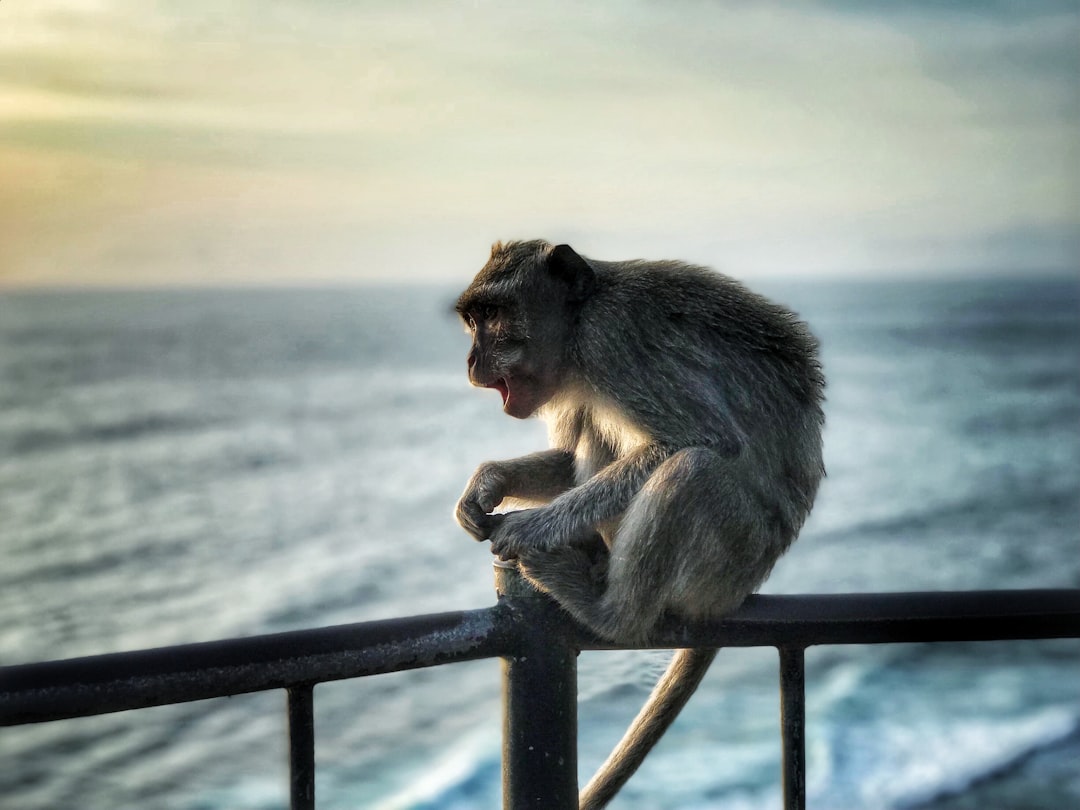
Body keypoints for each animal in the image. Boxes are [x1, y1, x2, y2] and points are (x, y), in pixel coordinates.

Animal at [451, 237, 820, 807]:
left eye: (493, 315)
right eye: (473, 319)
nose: (471, 360)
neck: (579, 325)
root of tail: (742, 590)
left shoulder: (612, 342)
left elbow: (703, 440)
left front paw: (528, 528)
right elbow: (568, 455)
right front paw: (485, 485)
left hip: (732, 557)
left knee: (692, 469)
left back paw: (609, 611)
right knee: (599, 430)